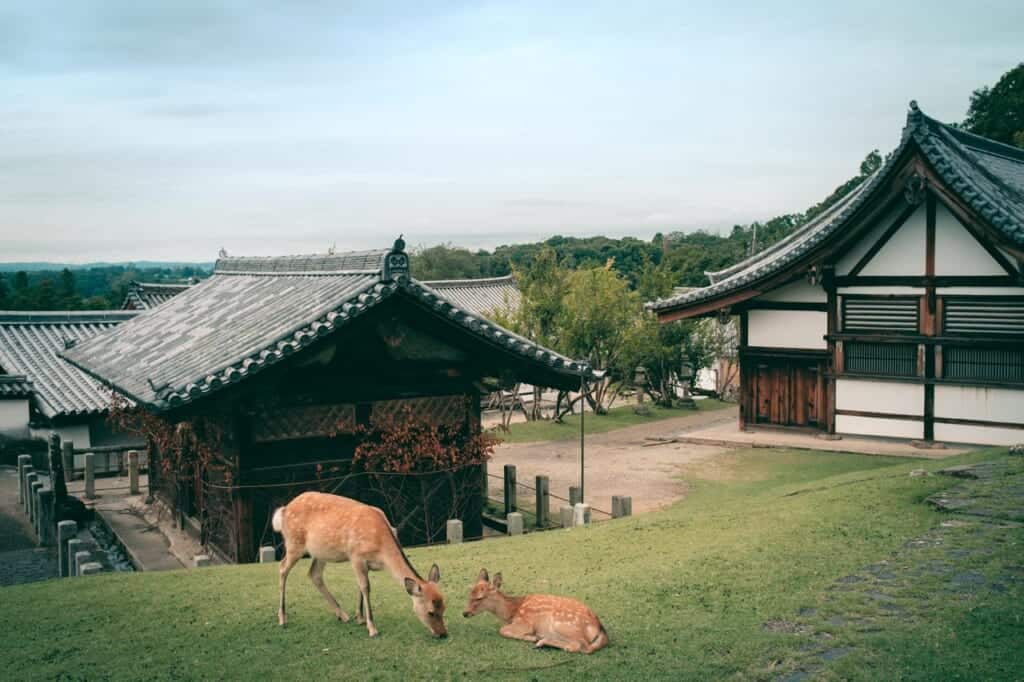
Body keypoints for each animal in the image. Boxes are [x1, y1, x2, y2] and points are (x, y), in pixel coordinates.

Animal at [271, 491, 447, 639]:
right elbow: (365, 587)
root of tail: (284, 510)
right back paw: (282, 619)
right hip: (294, 543)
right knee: (282, 568)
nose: (443, 634)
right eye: (431, 612)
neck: (381, 549)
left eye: (444, 607)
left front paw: (360, 618)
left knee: (314, 574)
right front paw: (372, 628)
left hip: (320, 552)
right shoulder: (356, 556)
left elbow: (360, 587)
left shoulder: (365, 564)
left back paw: (342, 615)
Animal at [462, 569, 609, 654]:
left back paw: (540, 641)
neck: (512, 612)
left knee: (580, 646)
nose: (465, 613)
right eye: (470, 593)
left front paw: (531, 637)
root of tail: (599, 628)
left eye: (479, 598)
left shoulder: (525, 622)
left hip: (563, 625)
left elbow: (502, 630)